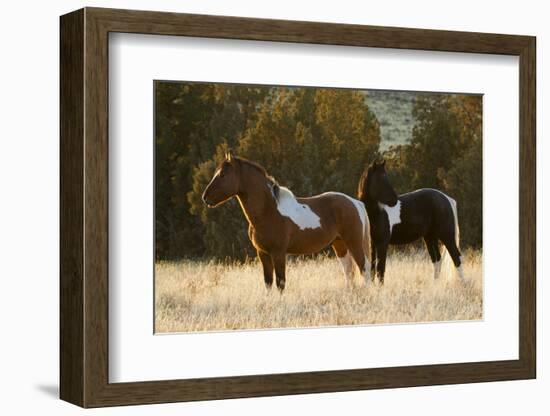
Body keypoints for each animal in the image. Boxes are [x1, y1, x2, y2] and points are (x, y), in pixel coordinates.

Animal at [201, 153, 374, 292]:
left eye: (223, 174)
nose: (205, 197)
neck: (268, 211)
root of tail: (355, 203)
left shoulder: (278, 253)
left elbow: (280, 282)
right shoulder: (262, 253)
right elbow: (268, 282)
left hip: (353, 242)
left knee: (364, 267)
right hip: (339, 244)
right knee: (349, 271)